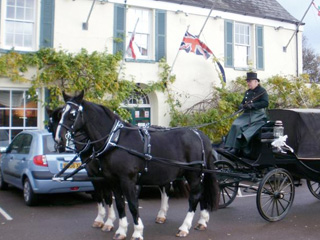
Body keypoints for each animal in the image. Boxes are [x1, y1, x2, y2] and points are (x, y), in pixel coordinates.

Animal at [55, 91, 220, 239]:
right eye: (61, 113)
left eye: (72, 114)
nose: (58, 140)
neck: (115, 141)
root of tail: (200, 135)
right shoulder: (112, 180)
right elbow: (119, 204)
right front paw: (120, 231)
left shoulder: (127, 180)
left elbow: (133, 205)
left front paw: (137, 232)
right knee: (200, 194)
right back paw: (201, 221)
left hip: (193, 174)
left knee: (194, 197)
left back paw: (184, 227)